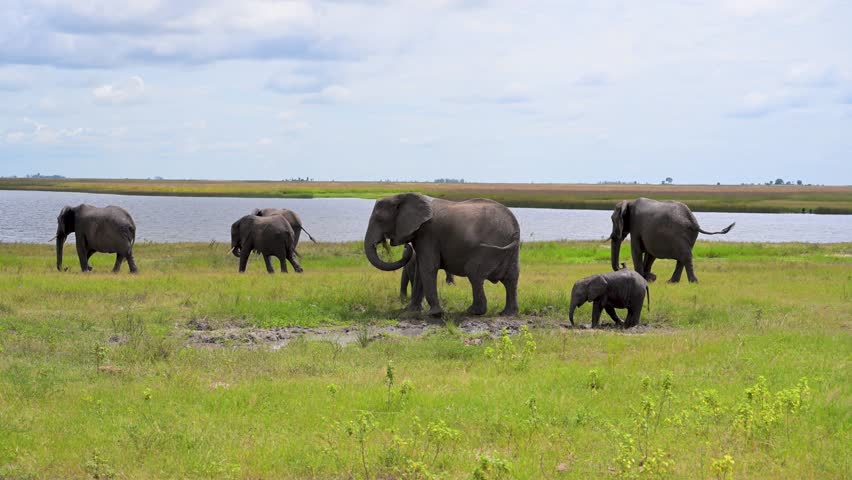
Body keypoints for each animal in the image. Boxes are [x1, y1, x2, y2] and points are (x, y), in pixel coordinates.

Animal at [364, 192, 520, 317]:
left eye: (379, 219)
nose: (406, 246)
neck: (402, 196)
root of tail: (515, 227)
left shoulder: (428, 234)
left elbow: (428, 267)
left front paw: (435, 314)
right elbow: (421, 271)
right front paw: (411, 311)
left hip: (489, 250)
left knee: (474, 273)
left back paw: (472, 312)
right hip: (512, 252)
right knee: (511, 279)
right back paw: (507, 313)